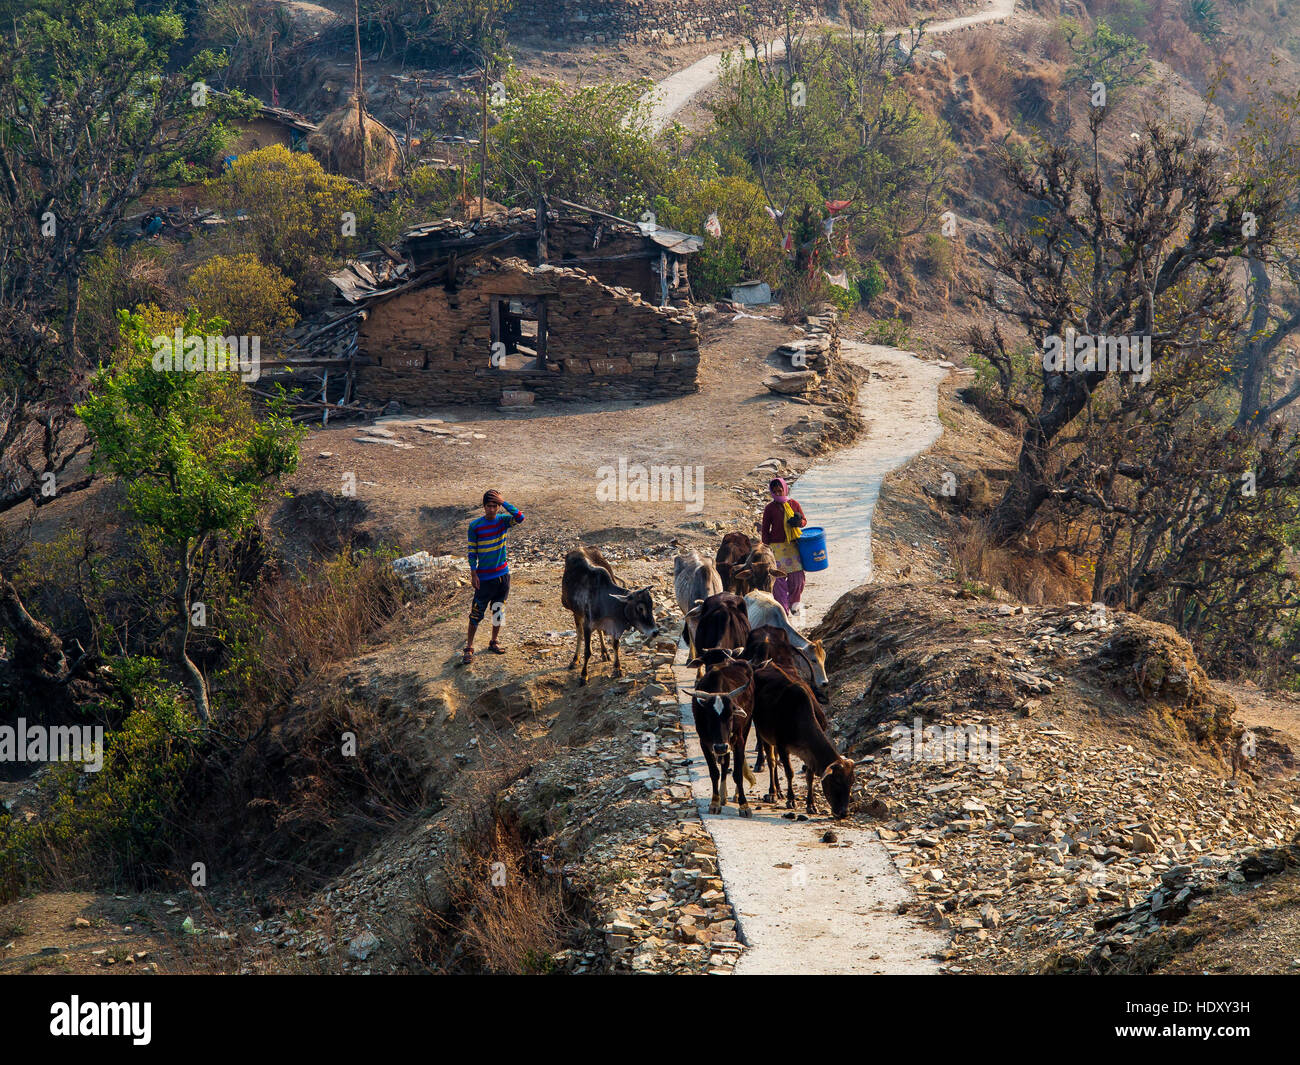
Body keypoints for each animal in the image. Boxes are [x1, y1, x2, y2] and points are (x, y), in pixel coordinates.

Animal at [561, 546, 660, 686]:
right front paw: (584, 675)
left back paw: (604, 653)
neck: (605, 598)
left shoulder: (613, 625)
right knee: (579, 634)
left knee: (599, 631)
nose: (655, 631)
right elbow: (587, 651)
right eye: (640, 608)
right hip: (575, 612)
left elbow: (615, 645)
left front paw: (617, 668)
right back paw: (575, 659)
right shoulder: (587, 624)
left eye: (651, 606)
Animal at [686, 652, 759, 821]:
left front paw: (744, 805)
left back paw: (735, 795)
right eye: (709, 716)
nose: (720, 746)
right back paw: (723, 795)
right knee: (725, 764)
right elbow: (714, 772)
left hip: (744, 730)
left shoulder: (737, 740)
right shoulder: (705, 742)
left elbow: (738, 774)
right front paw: (715, 802)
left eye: (731, 715)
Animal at [754, 663, 852, 821]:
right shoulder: (782, 746)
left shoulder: (809, 754)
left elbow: (809, 777)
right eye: (836, 781)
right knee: (771, 762)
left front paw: (811, 805)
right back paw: (773, 792)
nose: (844, 813)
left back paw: (779, 791)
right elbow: (789, 772)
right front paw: (791, 799)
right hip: (763, 733)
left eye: (851, 783)